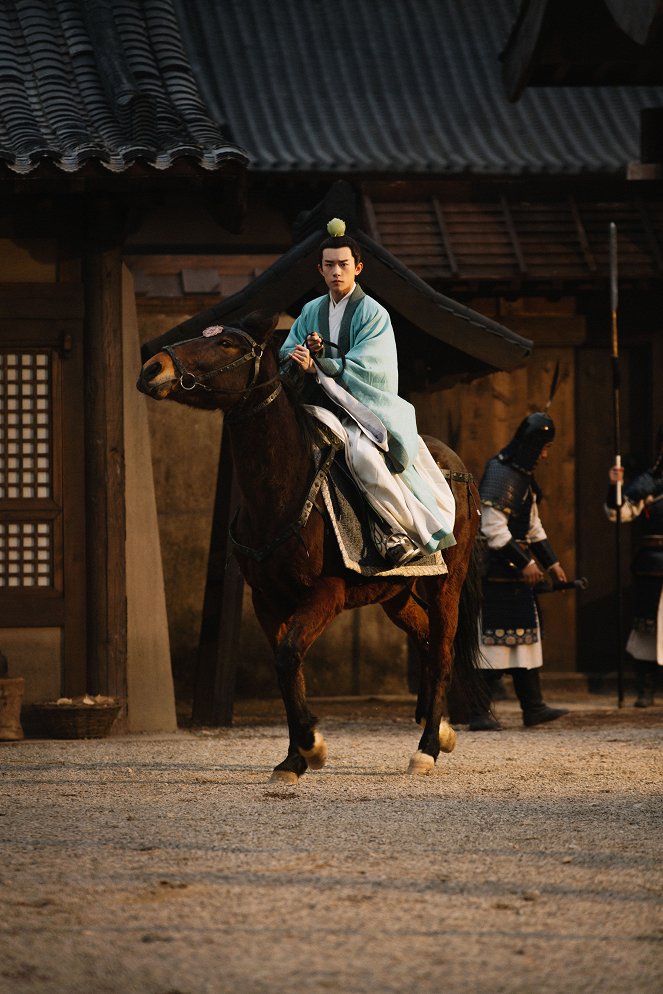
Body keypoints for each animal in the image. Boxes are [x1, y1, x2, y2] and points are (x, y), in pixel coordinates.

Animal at [139, 314, 482, 780]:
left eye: (227, 344)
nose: (152, 368)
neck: (279, 493)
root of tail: (458, 466)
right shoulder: (266, 598)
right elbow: (288, 668)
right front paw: (293, 758)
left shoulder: (326, 592)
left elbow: (288, 657)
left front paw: (312, 746)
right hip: (396, 593)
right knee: (427, 639)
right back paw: (441, 730)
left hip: (449, 580)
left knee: (443, 650)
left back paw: (427, 747)